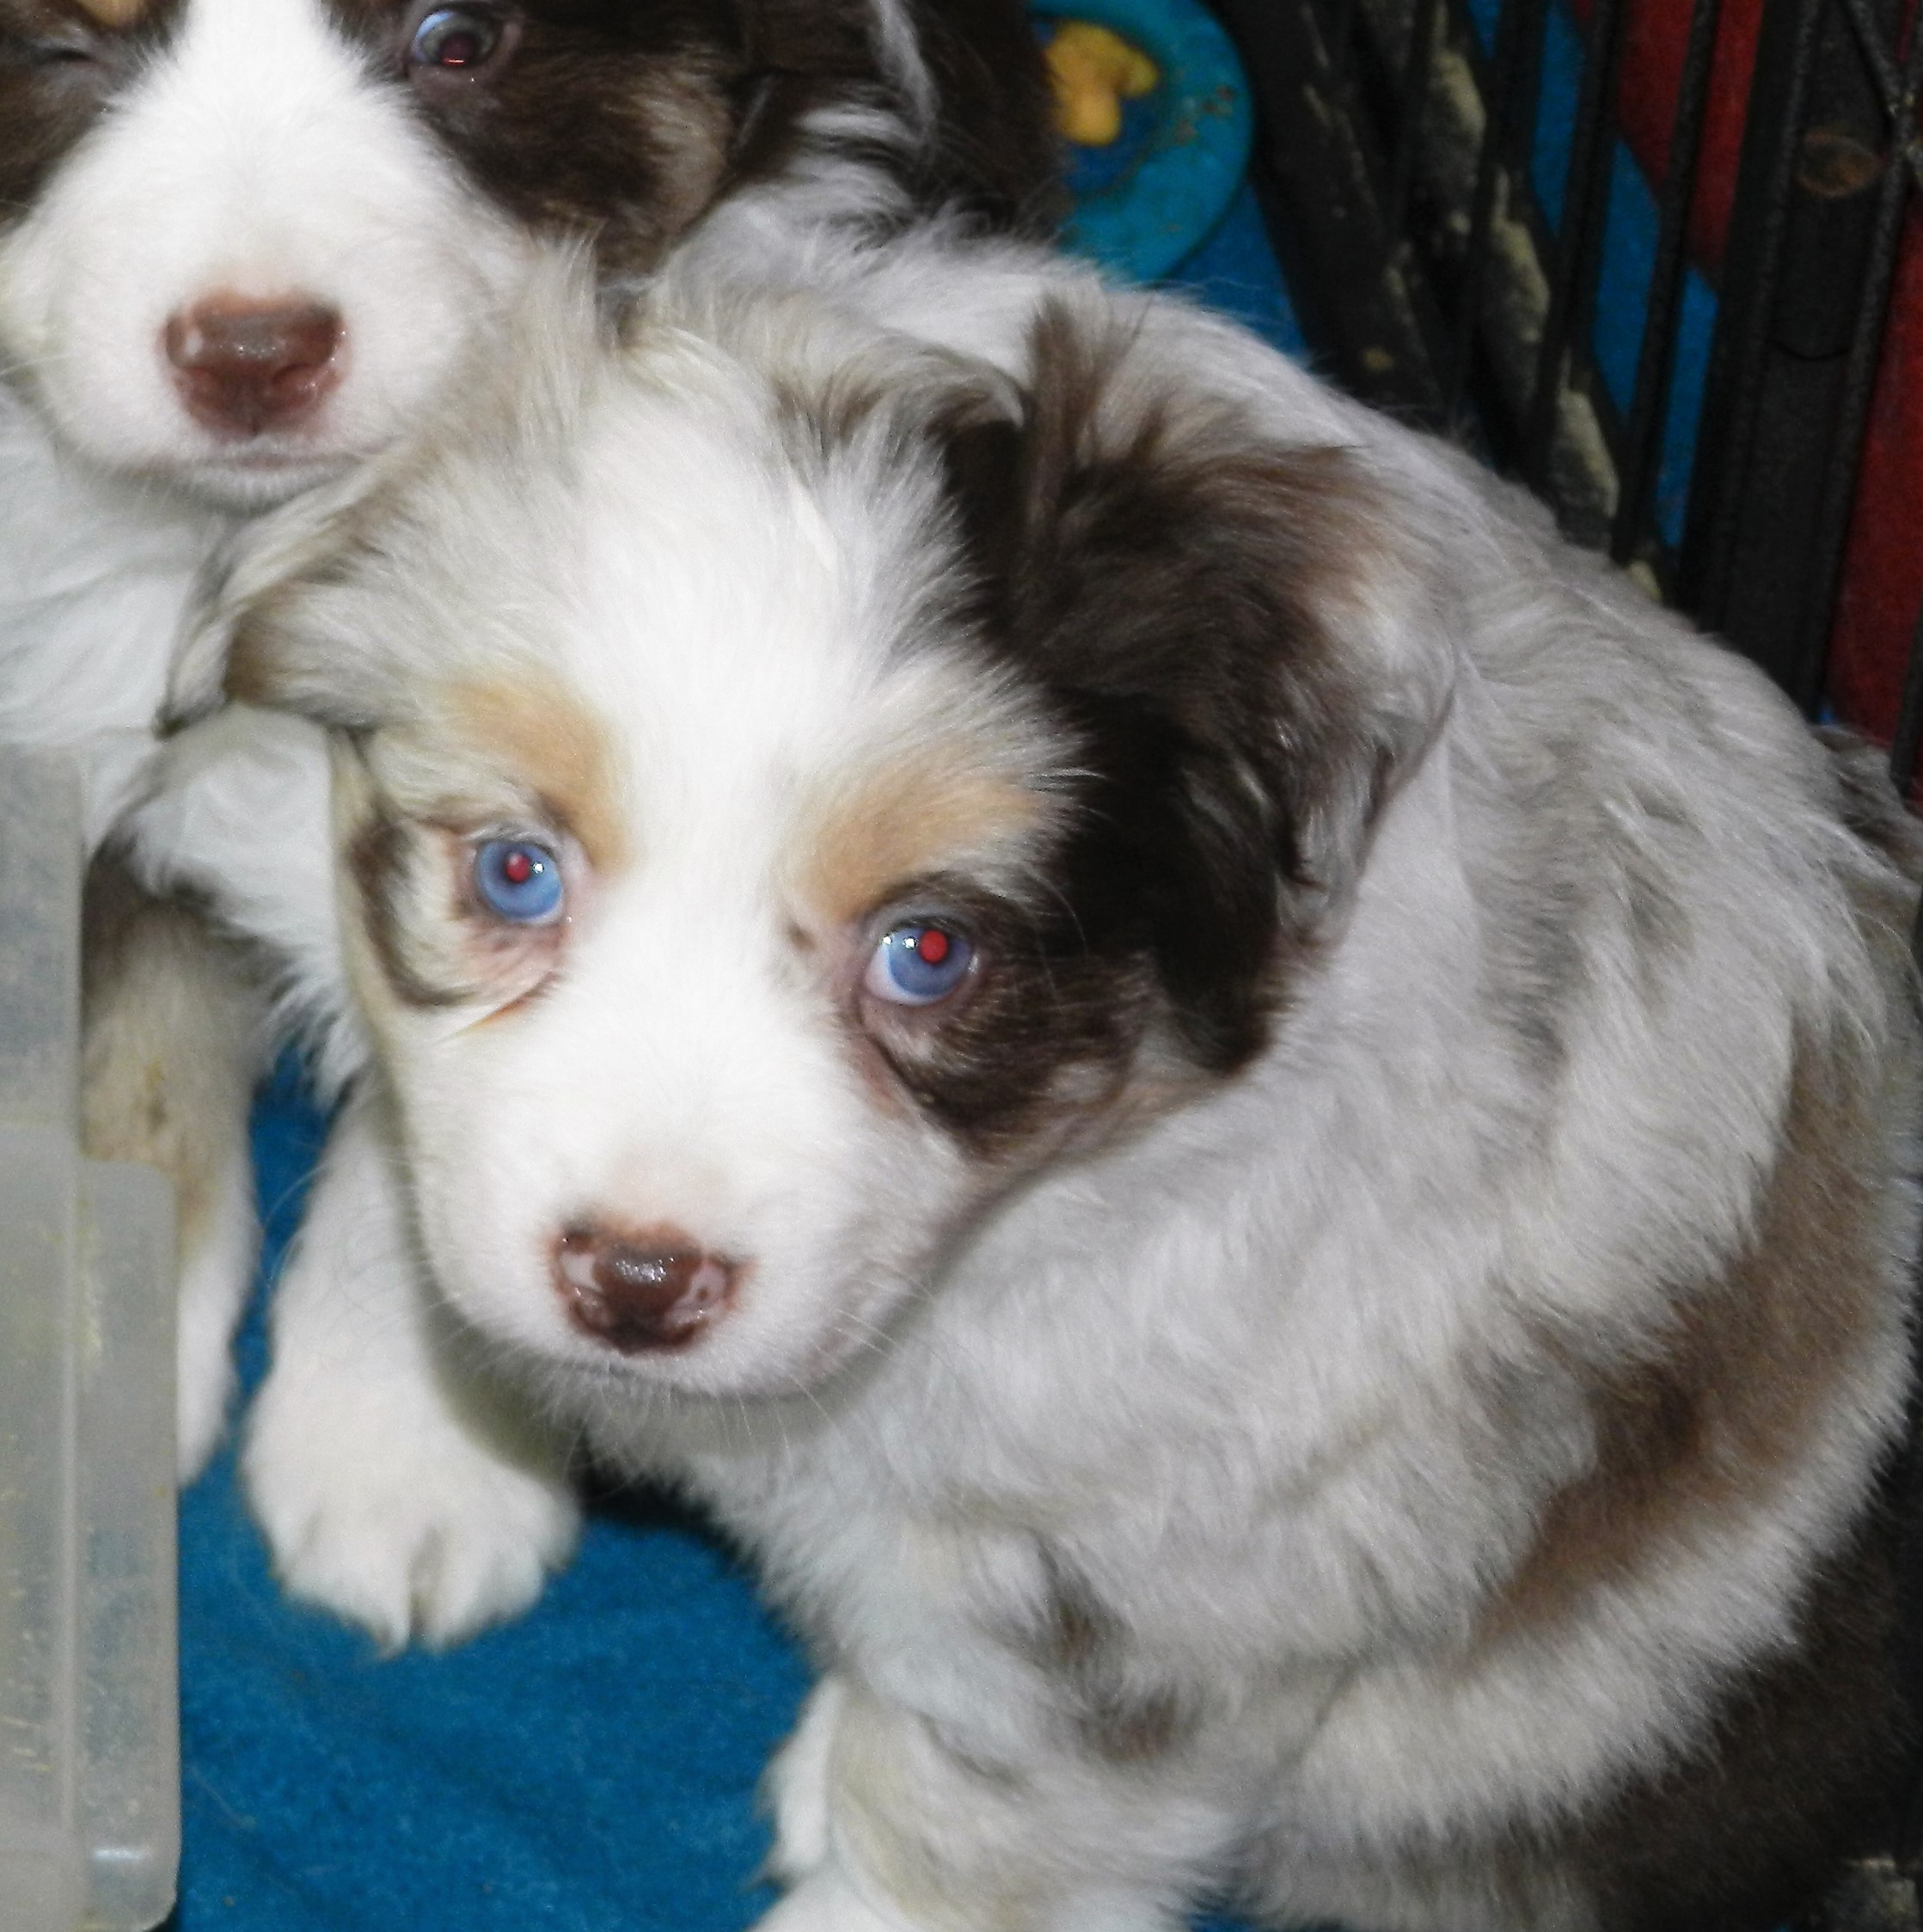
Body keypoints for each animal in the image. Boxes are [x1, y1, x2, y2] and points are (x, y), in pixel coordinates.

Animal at [0, 0, 1057, 1485]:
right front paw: (100, 1356)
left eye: (457, 41)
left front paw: (408, 1453)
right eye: (53, 48)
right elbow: (135, 1007)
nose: (253, 352)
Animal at [173, 235, 1923, 1931]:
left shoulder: (1150, 1604)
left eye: (929, 952)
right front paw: (402, 1447)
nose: (635, 1281)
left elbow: (972, 1829)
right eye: (518, 870)